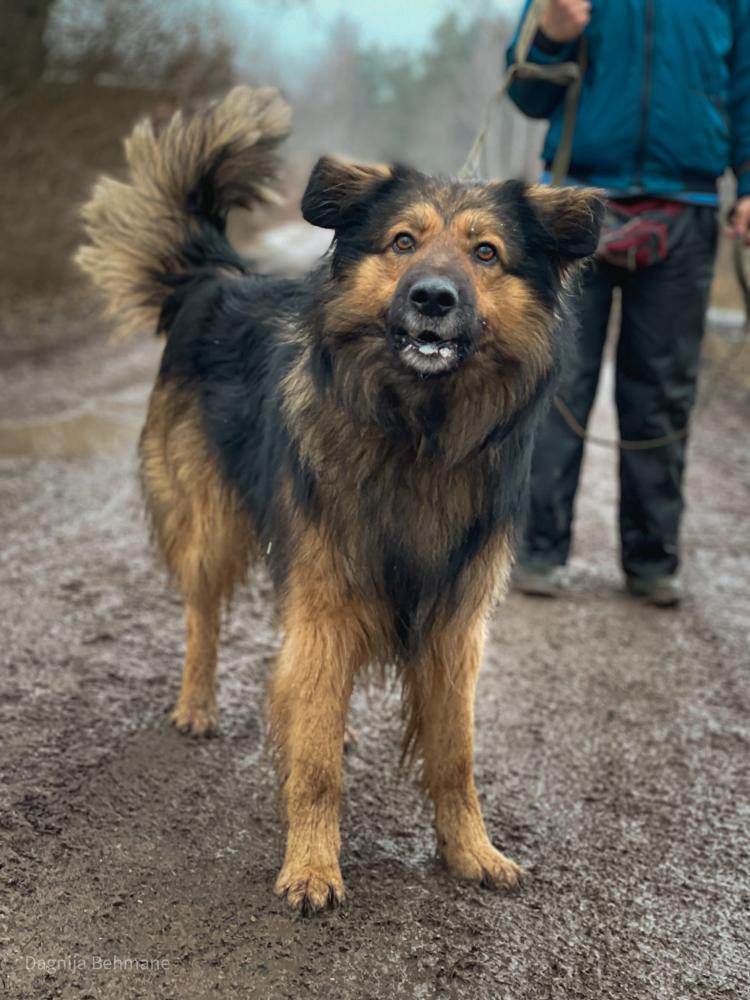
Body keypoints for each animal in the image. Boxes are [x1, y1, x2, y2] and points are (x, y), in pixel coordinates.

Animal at [77, 86, 603, 913]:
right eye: (402, 242)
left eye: (486, 253)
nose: (432, 297)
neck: (416, 432)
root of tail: (221, 276)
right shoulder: (326, 595)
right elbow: (318, 764)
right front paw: (313, 865)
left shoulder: (453, 621)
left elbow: (455, 755)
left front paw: (471, 851)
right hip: (213, 520)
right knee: (203, 613)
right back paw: (197, 704)